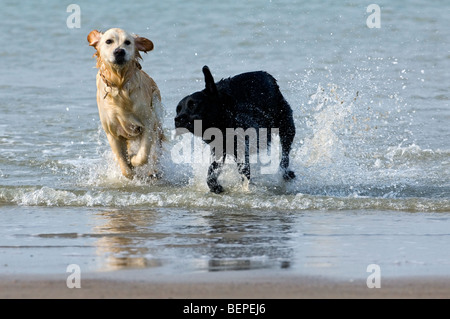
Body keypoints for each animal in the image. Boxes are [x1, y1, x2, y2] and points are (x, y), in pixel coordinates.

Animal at [175, 66, 296, 194]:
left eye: (193, 105)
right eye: (178, 109)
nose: (177, 119)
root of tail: (269, 77)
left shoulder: (242, 146)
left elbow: (244, 171)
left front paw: (245, 189)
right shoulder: (218, 150)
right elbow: (211, 172)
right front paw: (215, 187)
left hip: (287, 126)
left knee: (285, 153)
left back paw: (285, 173)